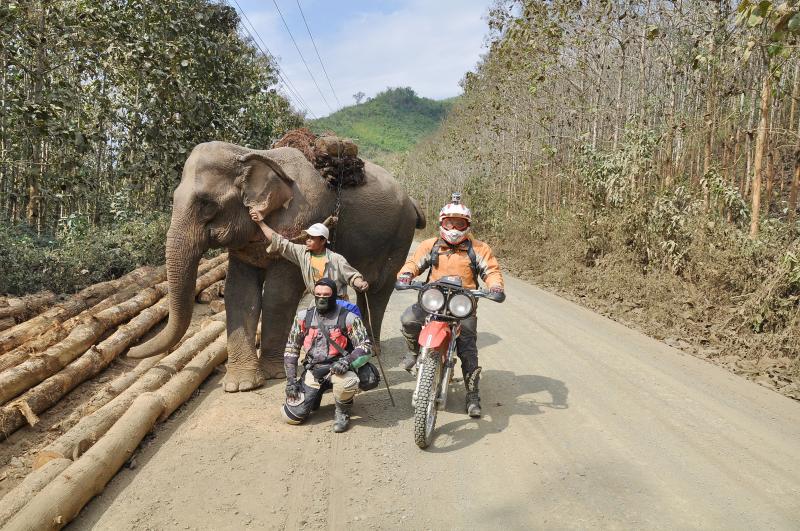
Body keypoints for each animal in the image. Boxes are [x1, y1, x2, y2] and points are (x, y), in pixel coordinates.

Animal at [128, 139, 424, 392]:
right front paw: (240, 385)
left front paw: (272, 374)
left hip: (400, 236)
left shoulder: (304, 218)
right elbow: (238, 293)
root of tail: (413, 202)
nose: (131, 352)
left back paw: (370, 350)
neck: (250, 153)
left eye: (206, 204)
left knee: (378, 289)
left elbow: (277, 295)